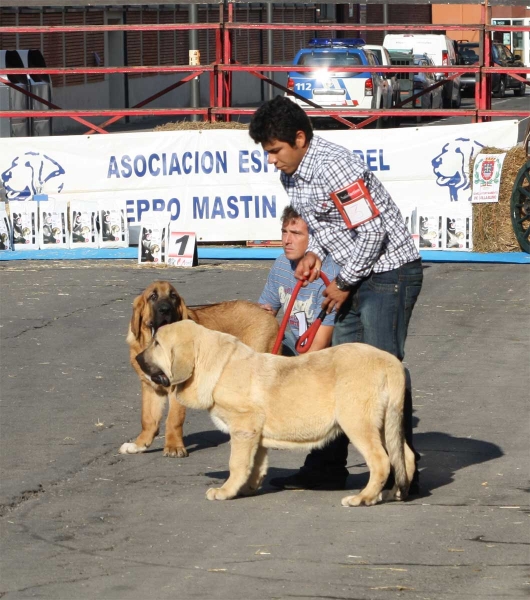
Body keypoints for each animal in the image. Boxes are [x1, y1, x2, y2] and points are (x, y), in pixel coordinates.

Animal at [121, 284, 278, 458]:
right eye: (152, 296)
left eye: (173, 296)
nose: (165, 309)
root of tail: (267, 312)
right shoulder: (151, 388)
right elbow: (148, 419)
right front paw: (139, 445)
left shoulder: (176, 388)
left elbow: (174, 419)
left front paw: (174, 447)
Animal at [134, 318, 414, 506]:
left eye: (157, 343)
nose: (136, 359)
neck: (216, 365)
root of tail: (390, 363)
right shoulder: (255, 436)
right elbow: (255, 465)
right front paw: (246, 488)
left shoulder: (243, 428)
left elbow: (237, 463)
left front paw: (225, 491)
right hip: (387, 426)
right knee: (405, 457)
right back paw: (396, 493)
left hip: (358, 424)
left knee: (381, 461)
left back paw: (363, 497)